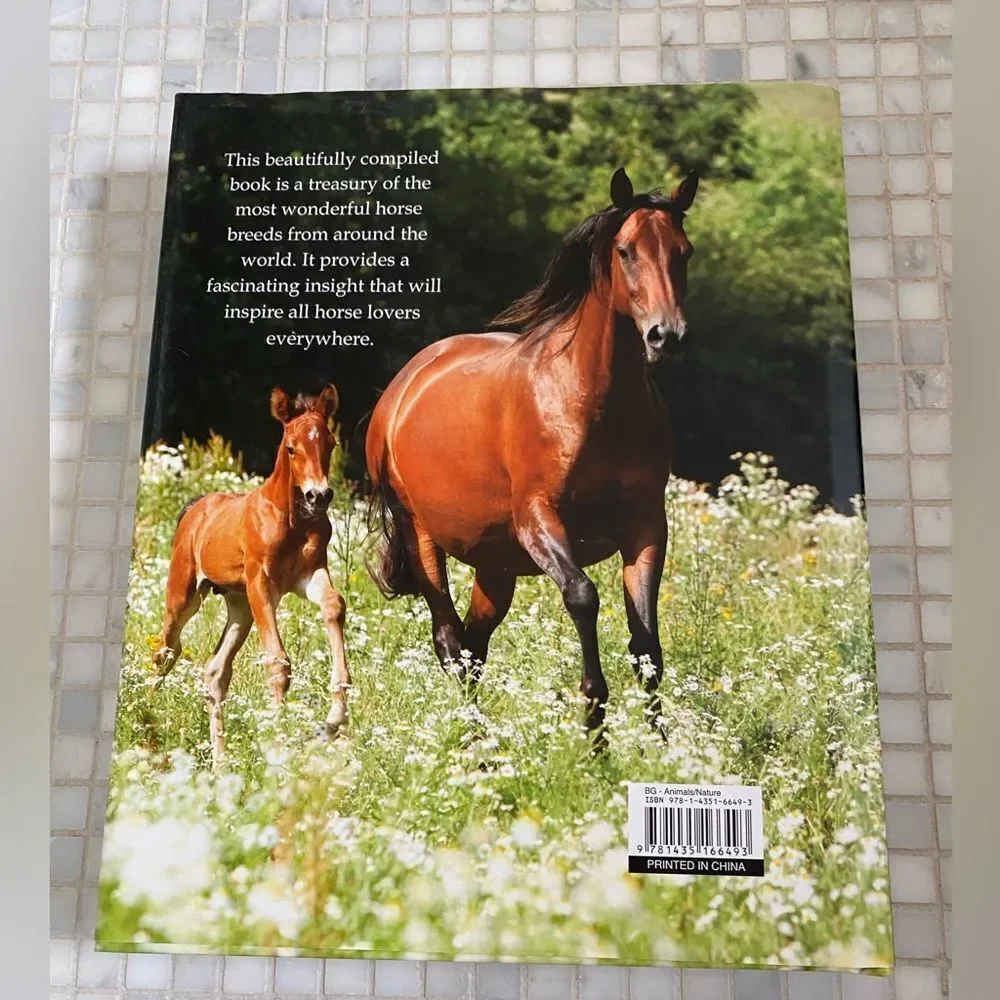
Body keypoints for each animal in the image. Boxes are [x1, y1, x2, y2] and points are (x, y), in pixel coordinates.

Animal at [153, 385, 350, 769]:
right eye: (291, 447)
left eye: (331, 443)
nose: (318, 496)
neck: (292, 520)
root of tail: (196, 508)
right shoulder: (262, 584)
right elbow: (277, 661)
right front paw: (278, 745)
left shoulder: (308, 576)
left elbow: (334, 604)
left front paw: (334, 720)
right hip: (184, 594)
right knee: (166, 650)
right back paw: (143, 713)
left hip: (238, 605)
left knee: (214, 672)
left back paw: (220, 764)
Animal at [365, 166, 698, 735]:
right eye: (626, 251)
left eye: (685, 251)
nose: (665, 334)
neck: (594, 401)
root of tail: (402, 387)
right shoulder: (541, 520)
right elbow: (583, 597)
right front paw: (594, 725)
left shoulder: (646, 528)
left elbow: (646, 644)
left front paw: (662, 746)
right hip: (421, 536)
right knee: (449, 639)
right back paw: (473, 739)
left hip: (495, 566)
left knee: (473, 645)